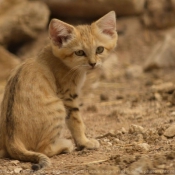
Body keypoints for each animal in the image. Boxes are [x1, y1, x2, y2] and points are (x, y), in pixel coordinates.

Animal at [0, 10, 117, 170]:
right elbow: (76, 121)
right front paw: (84, 142)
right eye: (79, 52)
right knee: (43, 149)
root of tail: (12, 141)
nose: (93, 63)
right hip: (58, 107)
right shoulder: (68, 96)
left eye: (99, 49)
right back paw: (65, 145)